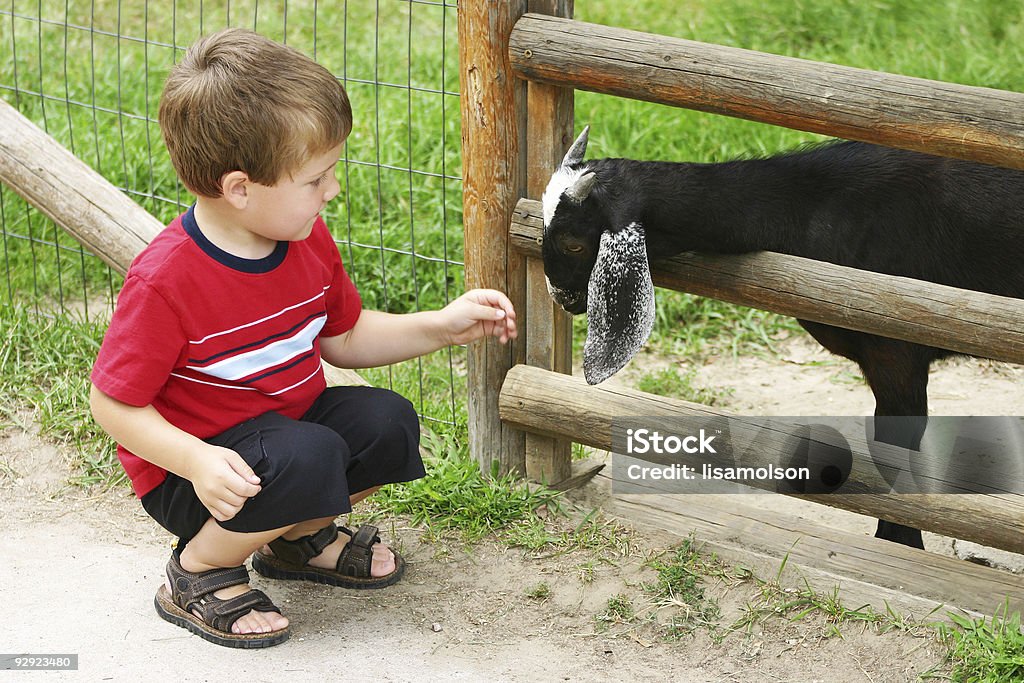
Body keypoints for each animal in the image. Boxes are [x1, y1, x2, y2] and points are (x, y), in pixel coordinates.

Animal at [540, 125, 1019, 548]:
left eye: (573, 243)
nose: (561, 297)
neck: (814, 205)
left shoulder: (895, 348)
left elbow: (894, 448)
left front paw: (899, 545)